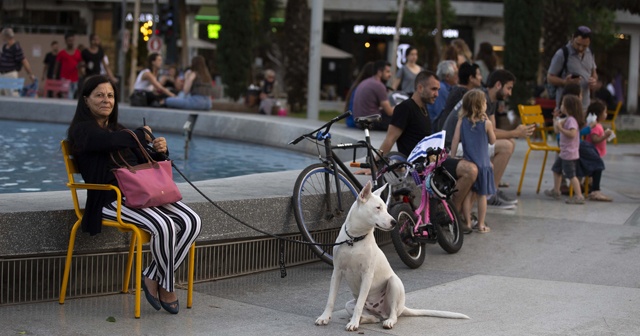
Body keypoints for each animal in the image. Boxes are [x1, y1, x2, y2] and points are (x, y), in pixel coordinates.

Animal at [316, 181, 470, 330]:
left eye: (385, 207)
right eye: (378, 207)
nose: (394, 222)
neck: (355, 239)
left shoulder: (367, 274)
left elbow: (359, 304)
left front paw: (353, 323)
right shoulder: (337, 271)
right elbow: (331, 299)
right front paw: (324, 317)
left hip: (394, 283)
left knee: (393, 314)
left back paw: (385, 321)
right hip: (350, 304)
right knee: (373, 317)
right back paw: (363, 319)